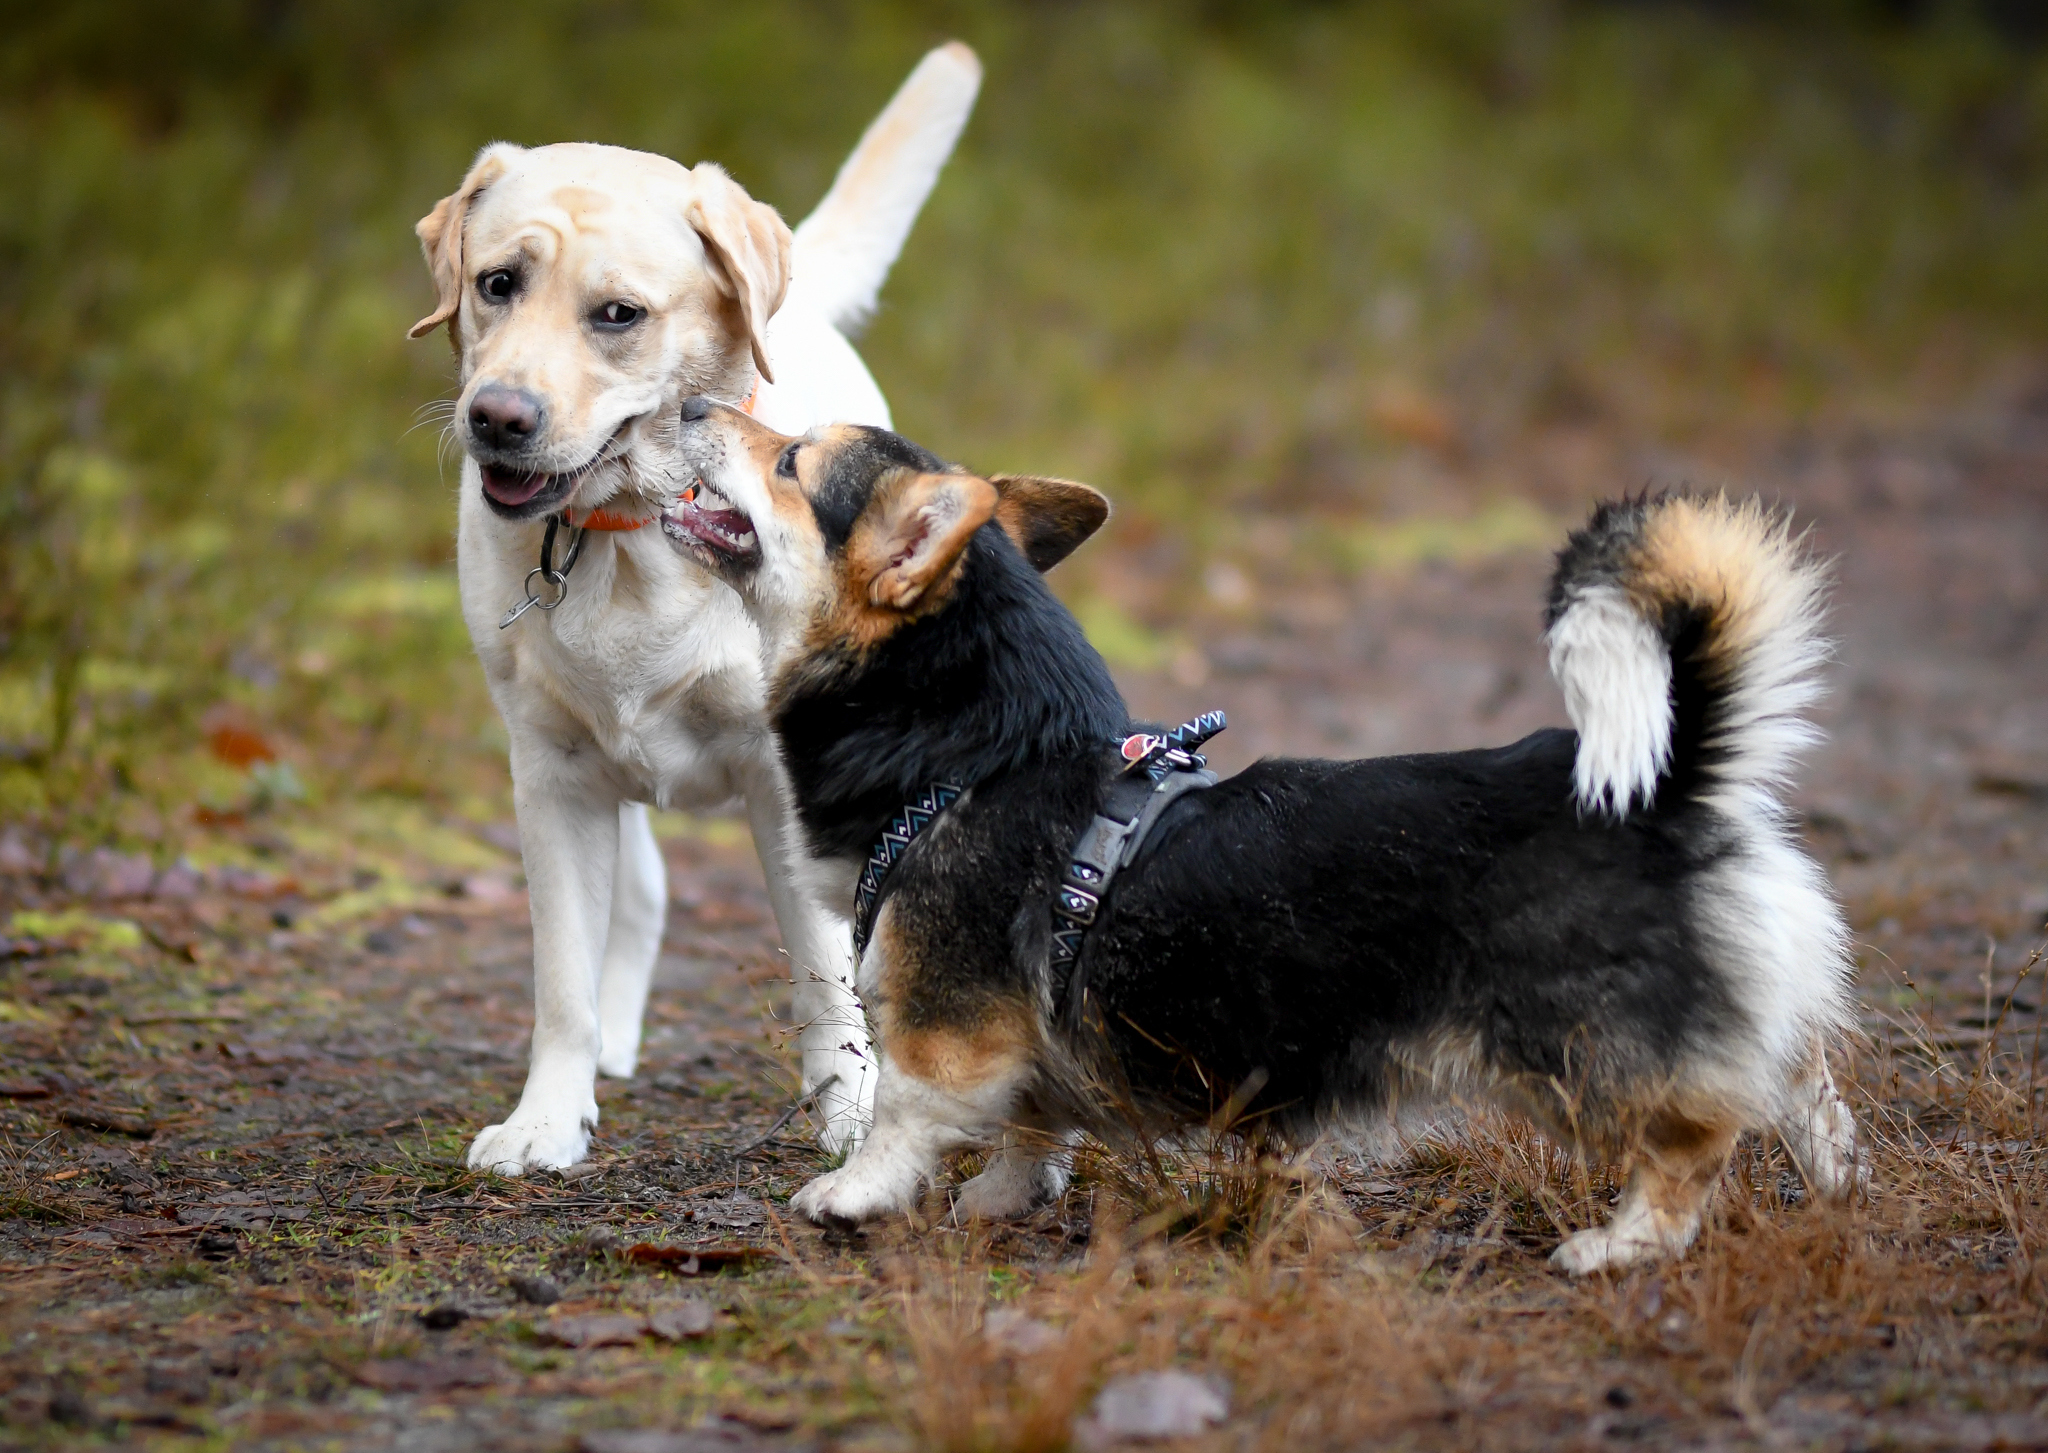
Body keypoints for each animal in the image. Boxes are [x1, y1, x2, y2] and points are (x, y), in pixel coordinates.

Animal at [411, 45, 978, 1180]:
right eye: (497, 284)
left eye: (618, 315)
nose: (497, 418)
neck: (629, 534)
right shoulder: (550, 775)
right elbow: (561, 979)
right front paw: (548, 1118)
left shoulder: (782, 781)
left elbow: (822, 972)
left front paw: (850, 1114)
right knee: (641, 897)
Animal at [663, 397, 1867, 1270]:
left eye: (791, 459)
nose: (689, 401)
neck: (975, 753)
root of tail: (1676, 787)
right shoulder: (1026, 1045)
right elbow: (1031, 1128)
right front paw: (999, 1202)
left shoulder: (943, 1025)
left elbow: (906, 1113)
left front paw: (850, 1195)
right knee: (1805, 1089)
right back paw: (1839, 1188)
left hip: (1576, 1055)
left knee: (1695, 1140)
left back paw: (1620, 1247)